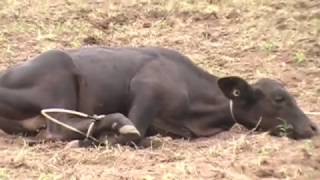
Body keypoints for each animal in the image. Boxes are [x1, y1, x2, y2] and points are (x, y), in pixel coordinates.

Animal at [0, 47, 318, 146]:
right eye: (279, 98)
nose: (313, 127)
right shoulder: (146, 89)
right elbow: (138, 132)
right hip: (60, 84)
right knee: (58, 129)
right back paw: (113, 125)